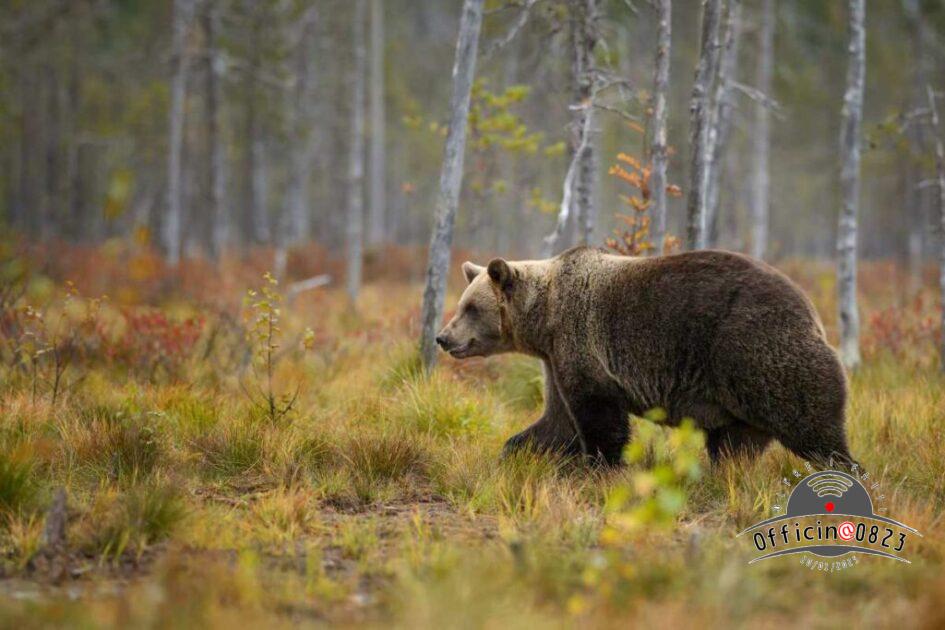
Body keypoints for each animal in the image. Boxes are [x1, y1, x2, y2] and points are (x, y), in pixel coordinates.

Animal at [435, 246, 858, 469]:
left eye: (470, 307)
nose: (442, 337)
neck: (544, 318)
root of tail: (810, 308)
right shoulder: (555, 360)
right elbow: (557, 421)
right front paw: (515, 451)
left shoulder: (581, 344)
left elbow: (598, 418)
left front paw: (600, 464)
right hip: (738, 397)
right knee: (735, 446)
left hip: (757, 351)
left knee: (813, 428)